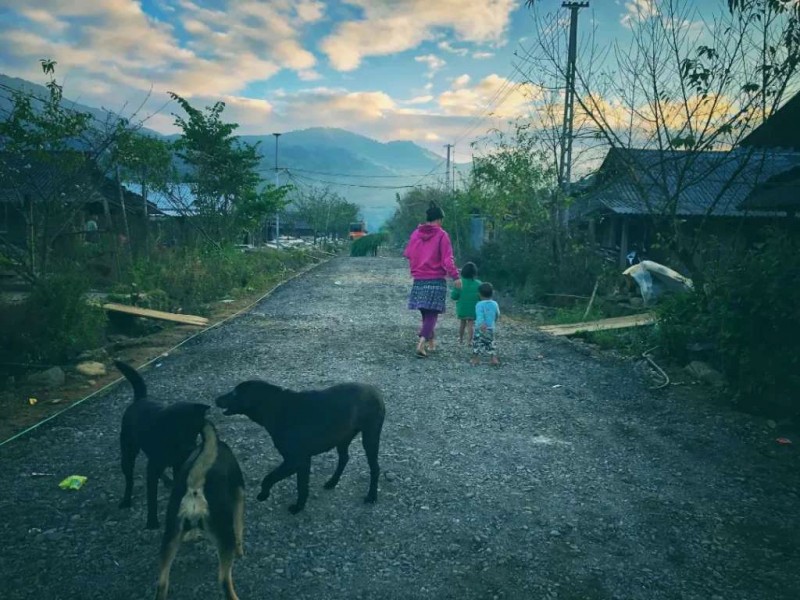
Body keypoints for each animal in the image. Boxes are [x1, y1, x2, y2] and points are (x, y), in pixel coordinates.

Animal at [115, 364, 211, 528]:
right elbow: (151, 497)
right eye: (177, 430)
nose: (190, 449)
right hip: (128, 454)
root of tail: (140, 400)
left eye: (194, 428)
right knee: (129, 479)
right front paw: (152, 522)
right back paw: (126, 500)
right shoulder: (153, 468)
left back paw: (167, 481)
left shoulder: (178, 465)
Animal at [154, 418, 244, 600]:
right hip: (225, 537)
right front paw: (240, 552)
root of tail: (195, 484)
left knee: (162, 584)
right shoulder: (239, 495)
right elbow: (239, 527)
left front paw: (192, 536)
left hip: (170, 538)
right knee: (224, 581)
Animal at [216, 382, 384, 512]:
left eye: (235, 393)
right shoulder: (302, 462)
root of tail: (375, 391)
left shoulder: (295, 460)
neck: (274, 406)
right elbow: (301, 486)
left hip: (370, 437)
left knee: (375, 468)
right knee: (344, 458)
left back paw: (371, 496)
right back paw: (332, 482)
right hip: (342, 438)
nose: (216, 399)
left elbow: (270, 478)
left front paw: (267, 496)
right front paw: (300, 505)